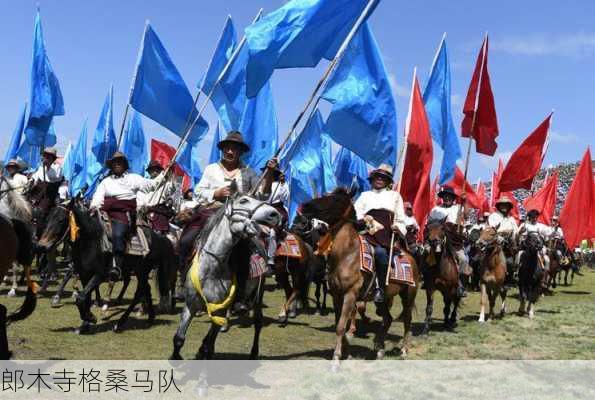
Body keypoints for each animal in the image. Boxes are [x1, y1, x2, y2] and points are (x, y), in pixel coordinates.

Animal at [37, 200, 176, 334]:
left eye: (61, 220)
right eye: (47, 219)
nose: (41, 246)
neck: (91, 242)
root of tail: (160, 238)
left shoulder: (100, 274)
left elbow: (81, 298)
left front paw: (91, 317)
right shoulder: (84, 274)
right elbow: (85, 298)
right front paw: (84, 325)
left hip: (142, 270)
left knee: (139, 292)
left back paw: (119, 323)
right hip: (138, 271)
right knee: (146, 289)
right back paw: (150, 317)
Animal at [170, 194, 282, 360]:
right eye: (243, 201)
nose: (275, 214)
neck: (211, 269)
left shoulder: (219, 309)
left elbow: (209, 339)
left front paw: (204, 352)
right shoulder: (191, 305)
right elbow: (179, 338)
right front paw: (176, 356)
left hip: (258, 295)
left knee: (257, 323)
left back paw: (253, 352)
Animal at [302, 188, 420, 362]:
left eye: (336, 200)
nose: (305, 206)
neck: (346, 254)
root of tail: (411, 257)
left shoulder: (350, 294)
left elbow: (340, 326)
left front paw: (336, 357)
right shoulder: (337, 295)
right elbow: (340, 324)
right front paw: (348, 353)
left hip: (408, 295)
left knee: (407, 319)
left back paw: (404, 350)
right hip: (382, 299)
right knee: (388, 319)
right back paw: (379, 349)